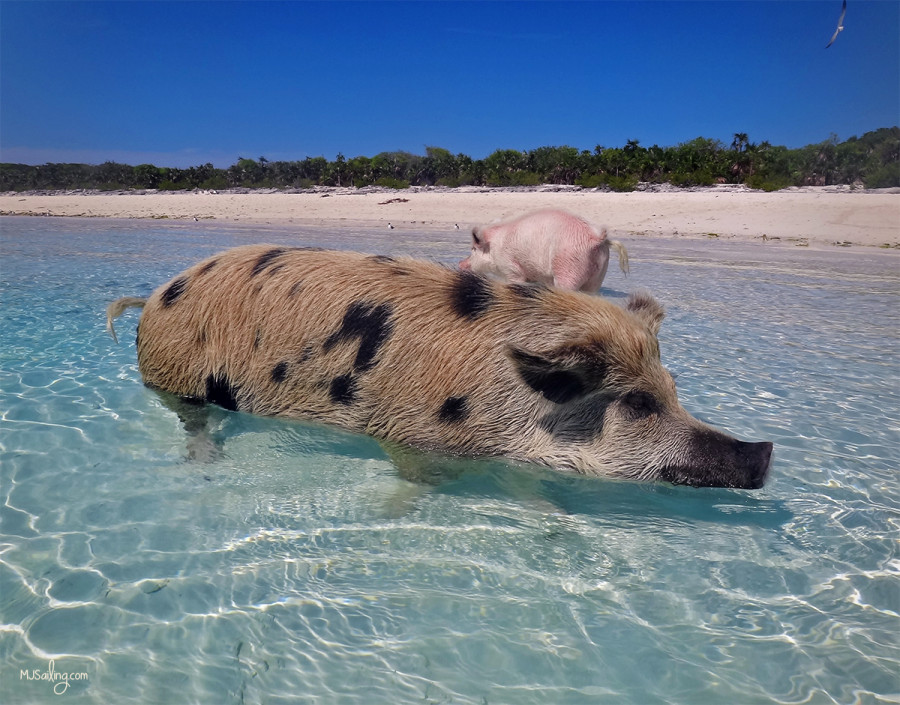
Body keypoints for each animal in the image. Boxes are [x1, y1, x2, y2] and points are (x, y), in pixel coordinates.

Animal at [109, 245, 772, 486]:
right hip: (178, 376)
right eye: (636, 403)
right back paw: (207, 464)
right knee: (191, 418)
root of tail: (155, 296)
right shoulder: (411, 433)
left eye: (674, 387)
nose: (764, 450)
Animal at [460, 209, 628, 292]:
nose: (460, 264)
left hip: (568, 267)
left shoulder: (511, 267)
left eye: (473, 249)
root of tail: (597, 237)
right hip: (599, 274)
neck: (494, 248)